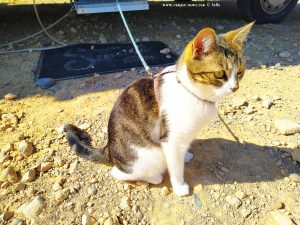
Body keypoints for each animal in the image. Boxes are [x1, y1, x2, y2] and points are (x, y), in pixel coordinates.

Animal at [59, 22, 254, 196]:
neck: (191, 91)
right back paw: (153, 177)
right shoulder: (170, 140)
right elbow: (175, 168)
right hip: (145, 157)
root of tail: (109, 148)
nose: (235, 88)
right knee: (118, 173)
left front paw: (185, 156)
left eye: (240, 71)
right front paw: (180, 187)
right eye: (219, 74)